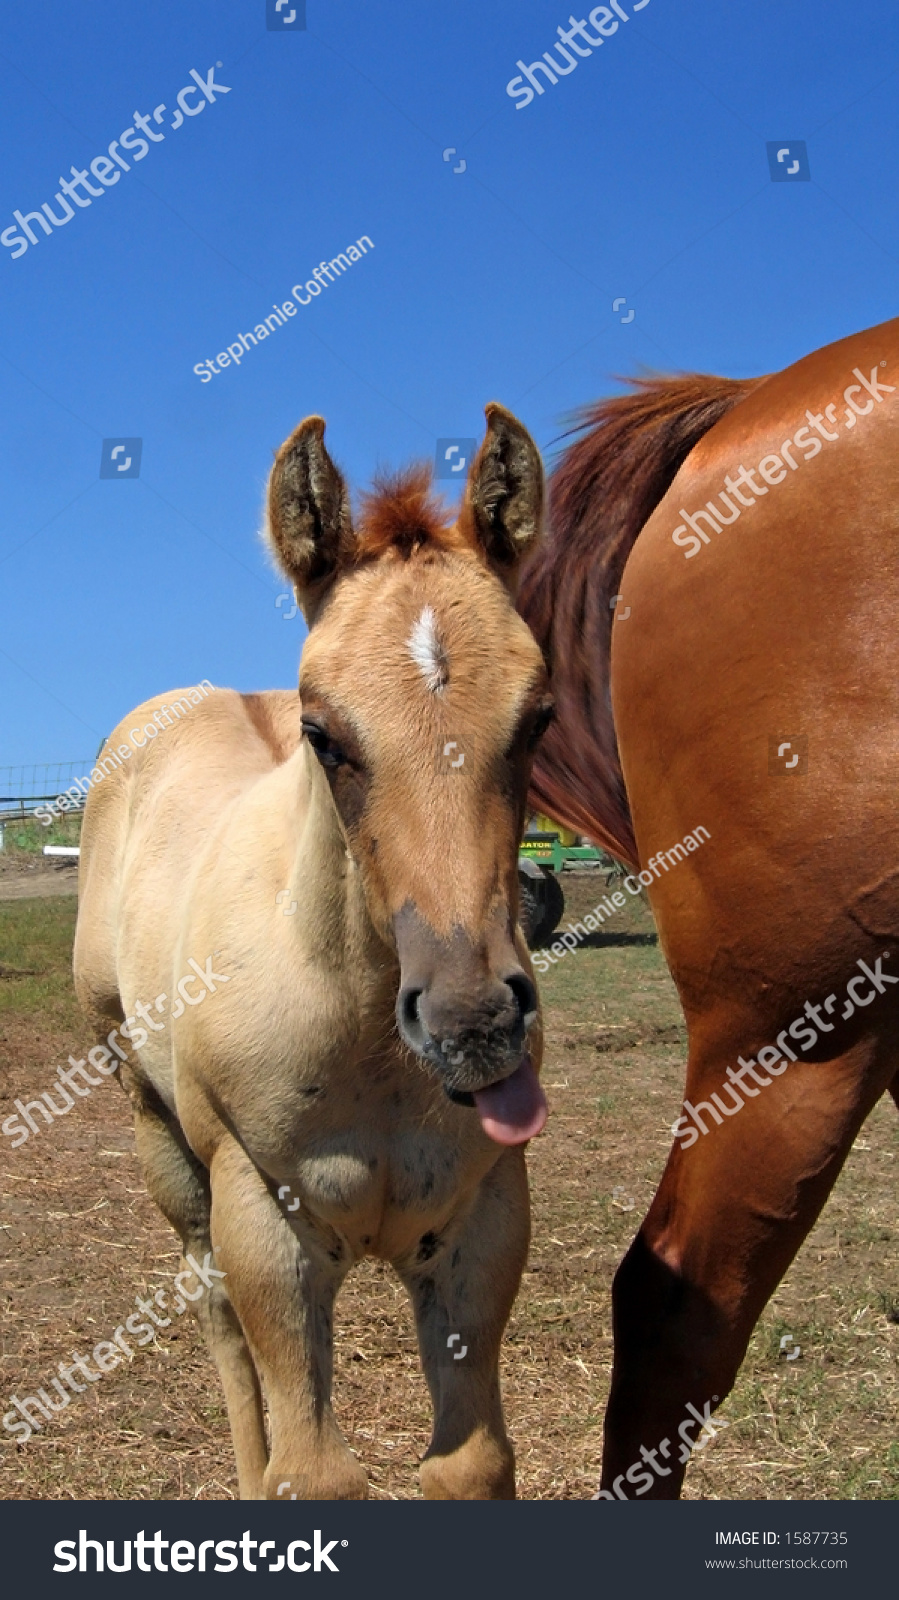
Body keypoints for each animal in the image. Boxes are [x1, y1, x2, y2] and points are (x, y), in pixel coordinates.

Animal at [73, 403, 550, 1497]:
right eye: (323, 734)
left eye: (538, 720)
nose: (473, 1023)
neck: (366, 1041)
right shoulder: (266, 1221)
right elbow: (313, 1472)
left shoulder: (480, 1218)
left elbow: (468, 1465)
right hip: (154, 1120)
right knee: (210, 1307)